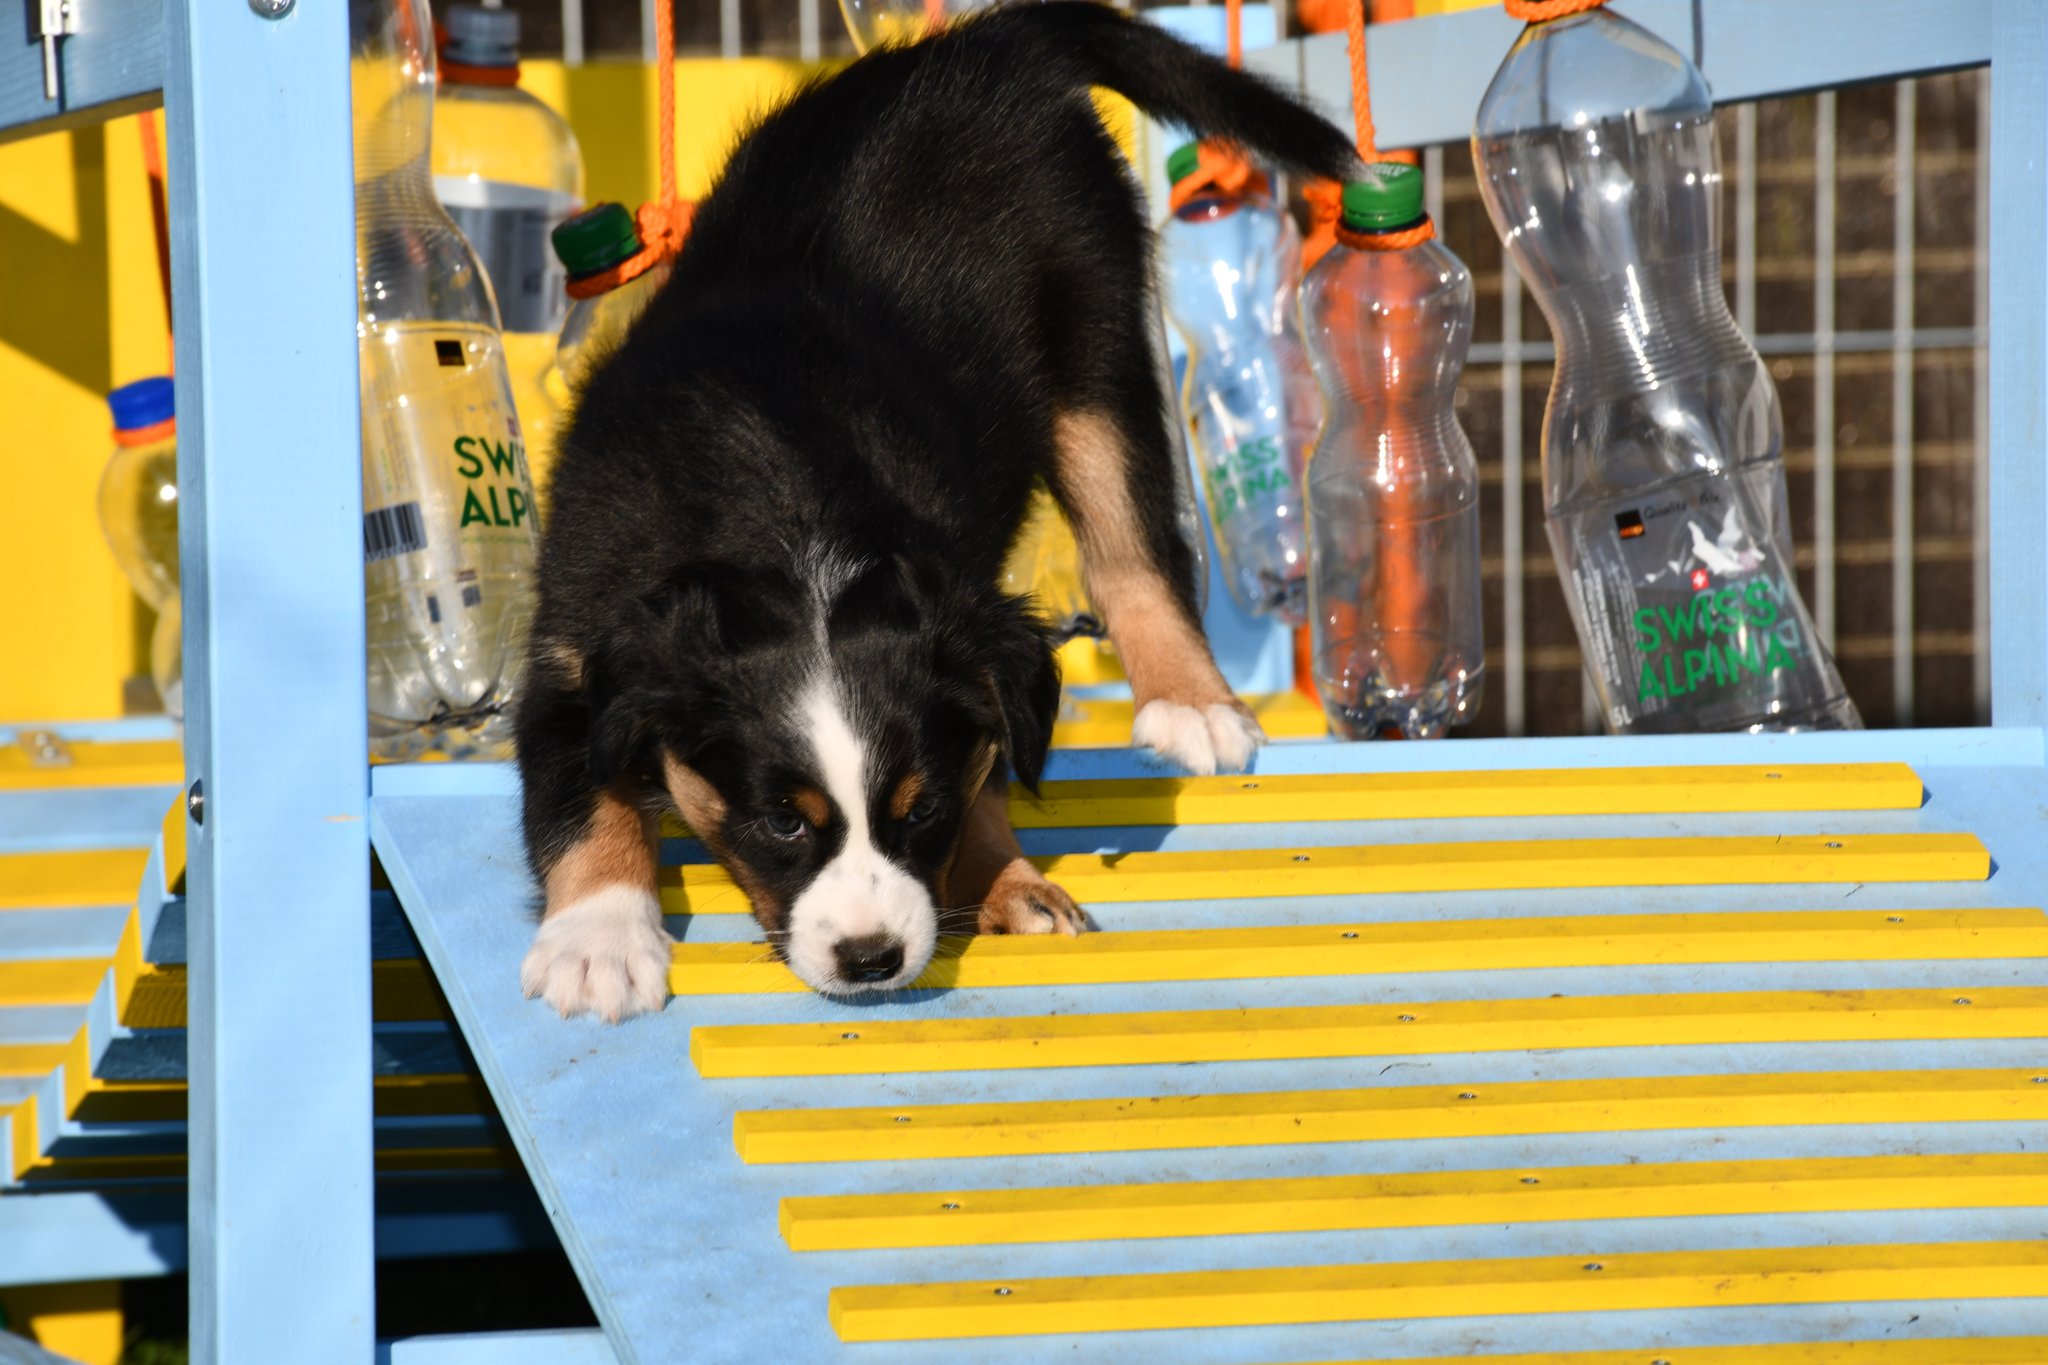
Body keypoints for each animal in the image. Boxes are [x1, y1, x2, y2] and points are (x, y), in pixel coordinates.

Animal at [514, 1, 1356, 1017]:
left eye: (919, 809)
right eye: (781, 823)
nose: (872, 958)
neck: (781, 508)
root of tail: (985, 43)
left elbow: (988, 766)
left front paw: (1007, 881)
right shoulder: (573, 650)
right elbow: (576, 796)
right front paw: (597, 942)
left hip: (1097, 338)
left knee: (1132, 542)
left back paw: (1191, 703)